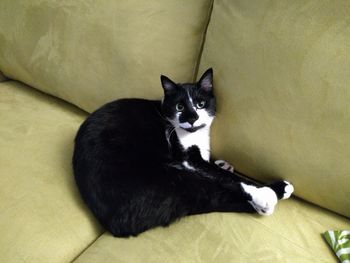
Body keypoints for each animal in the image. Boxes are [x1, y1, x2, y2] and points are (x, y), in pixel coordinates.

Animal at [72, 68, 294, 237]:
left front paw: (222, 163)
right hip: (170, 179)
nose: (192, 118)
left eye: (200, 104)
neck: (195, 135)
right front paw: (260, 192)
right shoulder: (188, 159)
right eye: (179, 106)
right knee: (211, 195)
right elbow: (227, 177)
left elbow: (215, 166)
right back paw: (272, 195)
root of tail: (115, 224)